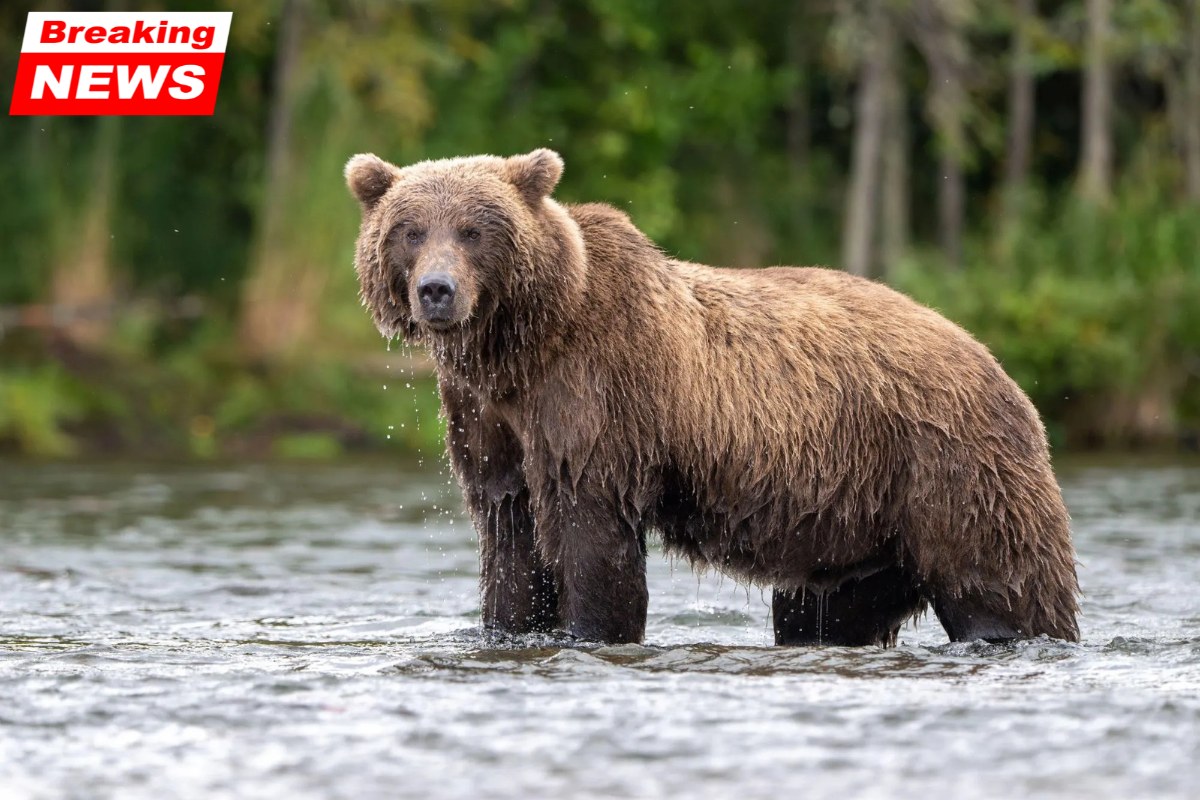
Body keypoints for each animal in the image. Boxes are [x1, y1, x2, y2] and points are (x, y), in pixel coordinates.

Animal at [345, 148, 1080, 647]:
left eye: (473, 229)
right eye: (410, 228)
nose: (437, 290)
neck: (522, 345)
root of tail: (998, 367)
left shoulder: (596, 399)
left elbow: (591, 537)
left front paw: (591, 628)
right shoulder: (489, 420)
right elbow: (511, 539)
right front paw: (510, 623)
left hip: (949, 470)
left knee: (1003, 588)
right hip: (859, 525)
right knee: (827, 611)